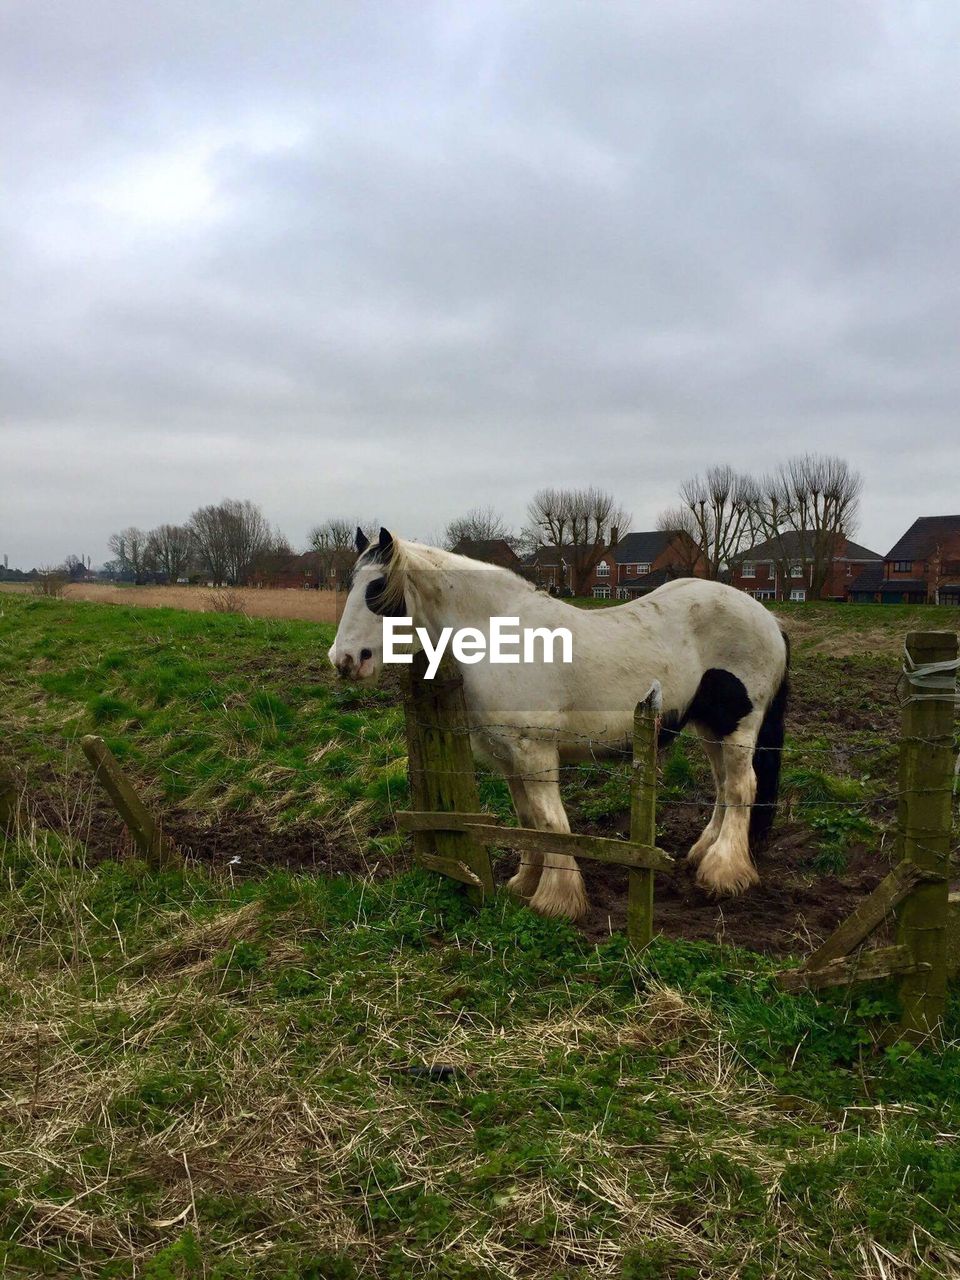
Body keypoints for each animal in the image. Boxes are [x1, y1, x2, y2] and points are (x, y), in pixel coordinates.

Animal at [330, 529, 788, 921]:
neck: (499, 634)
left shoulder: (534, 751)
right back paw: (704, 853)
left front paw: (556, 900)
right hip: (711, 727)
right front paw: (525, 882)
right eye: (351, 584)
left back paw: (724, 873)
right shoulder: (506, 755)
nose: (345, 660)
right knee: (724, 786)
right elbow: (528, 820)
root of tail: (768, 618)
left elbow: (552, 823)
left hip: (739, 726)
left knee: (742, 787)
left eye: (376, 589)